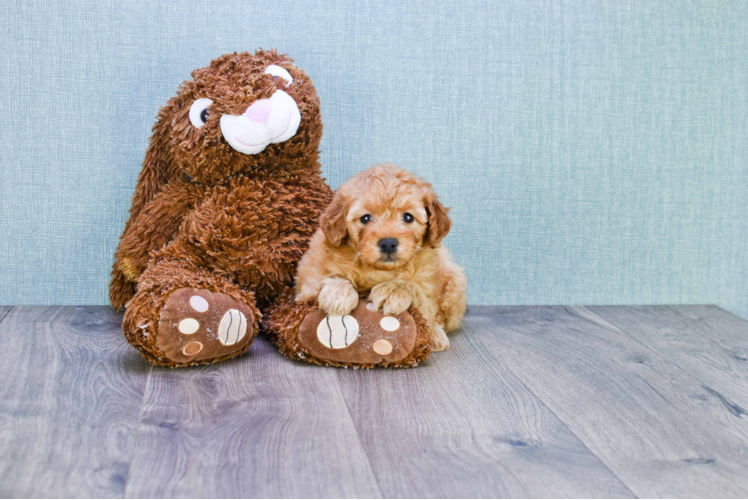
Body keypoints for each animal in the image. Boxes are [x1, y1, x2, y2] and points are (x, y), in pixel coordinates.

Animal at [294, 164, 464, 352]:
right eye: (365, 218)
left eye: (408, 217)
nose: (388, 244)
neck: (378, 270)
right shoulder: (308, 280)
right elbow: (327, 278)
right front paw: (338, 293)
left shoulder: (427, 285)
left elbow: (419, 296)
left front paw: (392, 290)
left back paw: (435, 334)